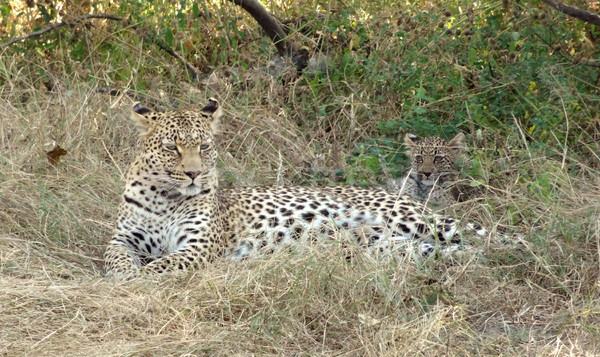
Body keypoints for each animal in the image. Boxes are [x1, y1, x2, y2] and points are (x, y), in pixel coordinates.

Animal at [103, 98, 494, 276]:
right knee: (452, 252)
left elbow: (160, 265)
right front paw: (124, 274)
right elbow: (116, 257)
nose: (194, 174)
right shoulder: (123, 238)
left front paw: (136, 277)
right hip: (393, 247)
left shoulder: (198, 247)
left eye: (204, 146)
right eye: (172, 147)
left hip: (415, 220)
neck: (166, 198)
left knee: (490, 236)